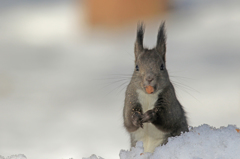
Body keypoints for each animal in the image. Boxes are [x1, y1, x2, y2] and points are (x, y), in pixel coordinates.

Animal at [124, 22, 189, 153]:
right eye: (137, 67)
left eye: (162, 66)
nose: (149, 78)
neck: (148, 95)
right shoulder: (130, 96)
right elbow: (128, 120)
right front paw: (135, 117)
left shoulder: (169, 97)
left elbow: (169, 119)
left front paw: (151, 115)